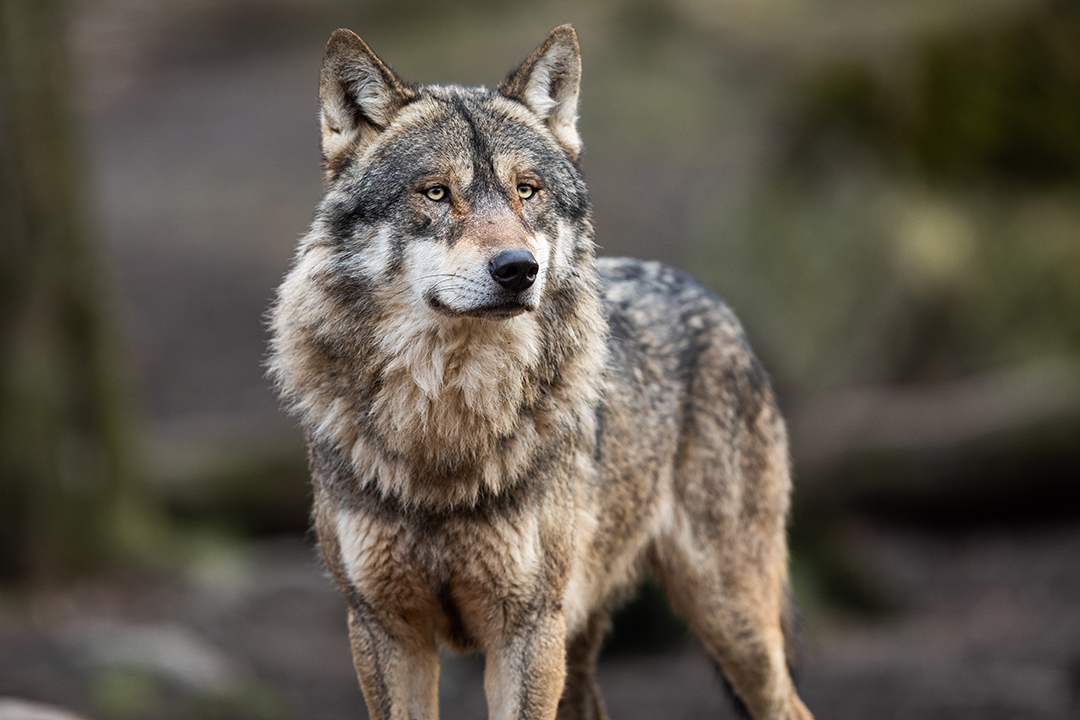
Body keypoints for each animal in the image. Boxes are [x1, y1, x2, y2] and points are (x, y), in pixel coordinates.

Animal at [268, 25, 813, 720]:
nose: (517, 269)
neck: (446, 425)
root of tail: (710, 298)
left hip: (727, 617)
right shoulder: (382, 629)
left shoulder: (525, 629)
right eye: (436, 192)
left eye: (526, 190)